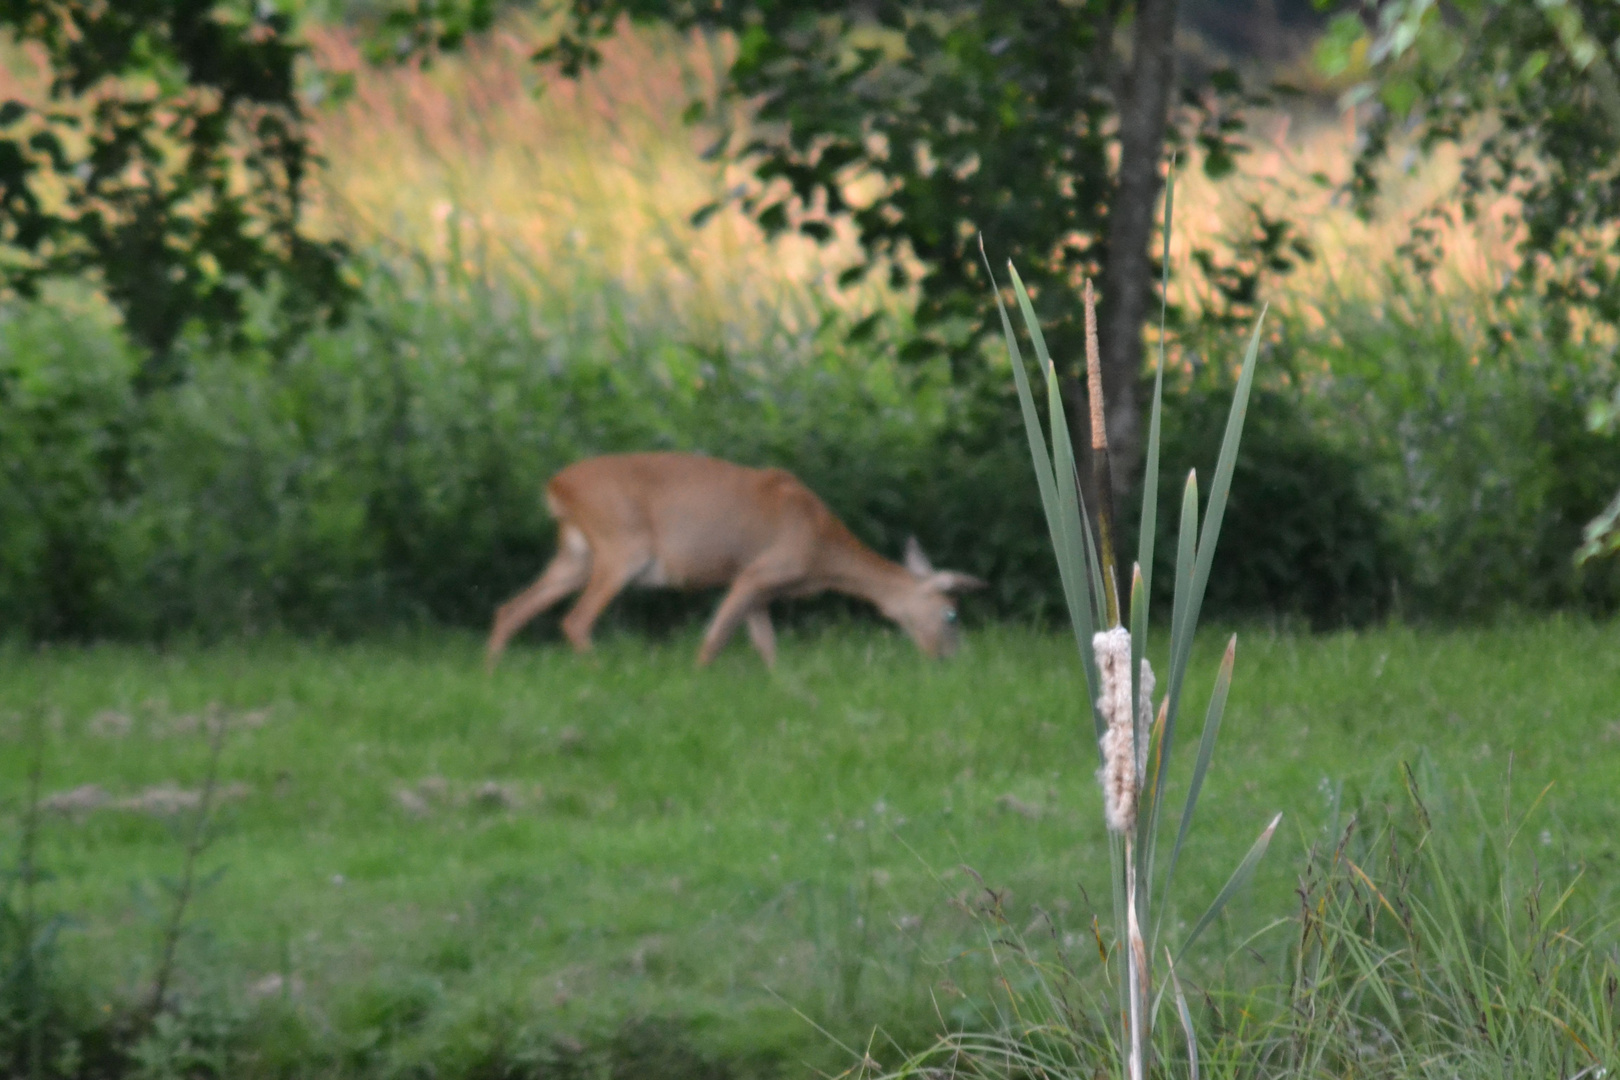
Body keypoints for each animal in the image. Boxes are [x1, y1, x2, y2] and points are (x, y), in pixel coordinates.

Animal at [482, 453, 984, 670]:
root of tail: (555, 487)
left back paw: (492, 675)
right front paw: (696, 683)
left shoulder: (758, 587)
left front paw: (784, 688)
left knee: (512, 608)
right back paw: (601, 673)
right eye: (952, 614)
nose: (950, 660)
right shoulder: (757, 572)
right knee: (576, 620)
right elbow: (715, 640)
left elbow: (767, 646)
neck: (820, 547)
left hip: (576, 554)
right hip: (621, 546)